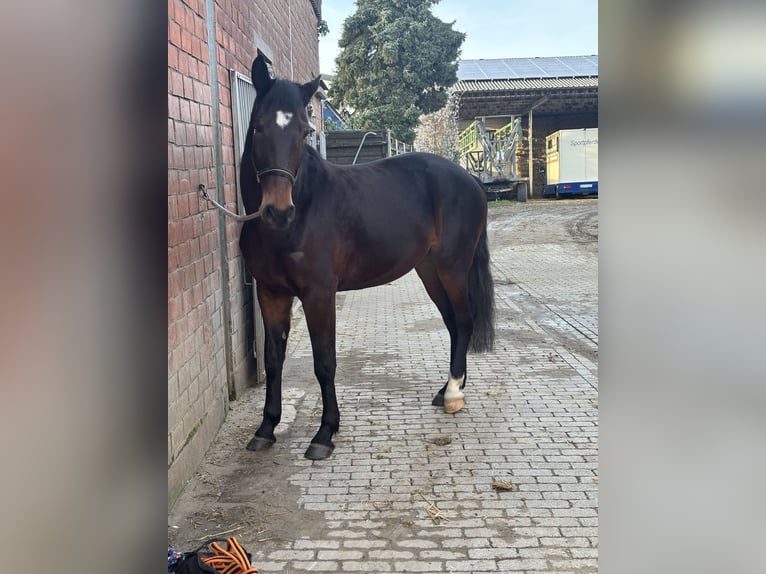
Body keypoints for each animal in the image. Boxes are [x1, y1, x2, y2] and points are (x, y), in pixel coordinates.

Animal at [239, 54, 495, 460]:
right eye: (260, 127)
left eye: (303, 132)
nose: (278, 211)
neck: (304, 209)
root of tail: (469, 180)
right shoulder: (271, 293)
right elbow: (274, 359)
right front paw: (266, 428)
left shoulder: (318, 294)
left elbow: (325, 362)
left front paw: (325, 432)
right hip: (428, 270)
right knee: (454, 324)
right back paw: (445, 390)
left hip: (452, 267)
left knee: (465, 321)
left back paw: (454, 394)